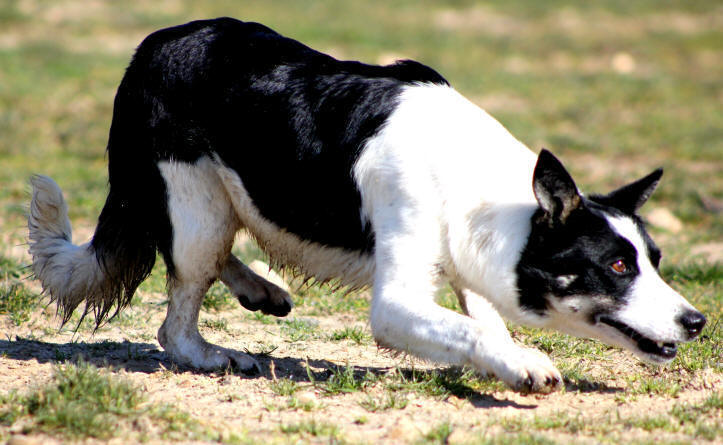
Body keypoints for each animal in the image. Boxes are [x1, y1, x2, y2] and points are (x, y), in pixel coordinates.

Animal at [28, 19, 708, 390]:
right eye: (616, 266)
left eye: (653, 259)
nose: (698, 322)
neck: (478, 186)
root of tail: (152, 45)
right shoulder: (397, 302)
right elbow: (468, 328)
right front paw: (525, 366)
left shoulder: (468, 267)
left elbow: (481, 325)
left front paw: (512, 361)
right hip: (198, 206)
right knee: (176, 316)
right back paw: (216, 353)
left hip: (215, 208)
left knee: (209, 253)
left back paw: (260, 288)